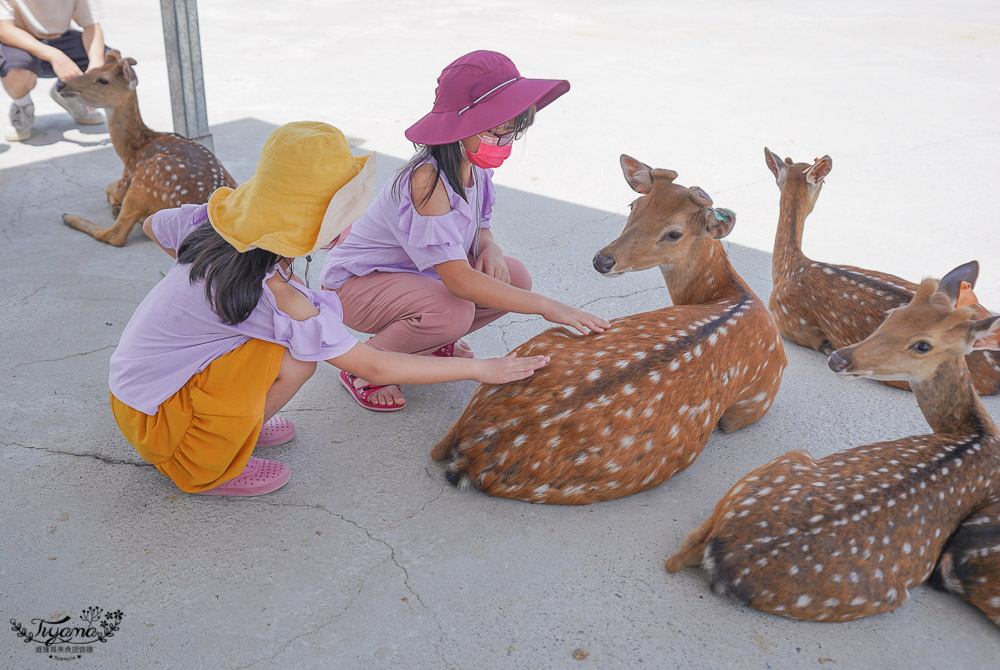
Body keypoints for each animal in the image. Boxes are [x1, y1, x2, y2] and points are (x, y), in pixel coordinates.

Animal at [58, 51, 236, 247]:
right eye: (90, 70)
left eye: (103, 80)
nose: (61, 84)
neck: (134, 150)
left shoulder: (127, 179)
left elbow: (109, 187)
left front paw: (114, 203)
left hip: (146, 176)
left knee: (115, 235)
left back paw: (70, 217)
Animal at [430, 156, 788, 504]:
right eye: (633, 205)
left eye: (674, 233)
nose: (602, 260)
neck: (733, 295)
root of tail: (473, 452)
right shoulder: (753, 404)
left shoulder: (755, 403)